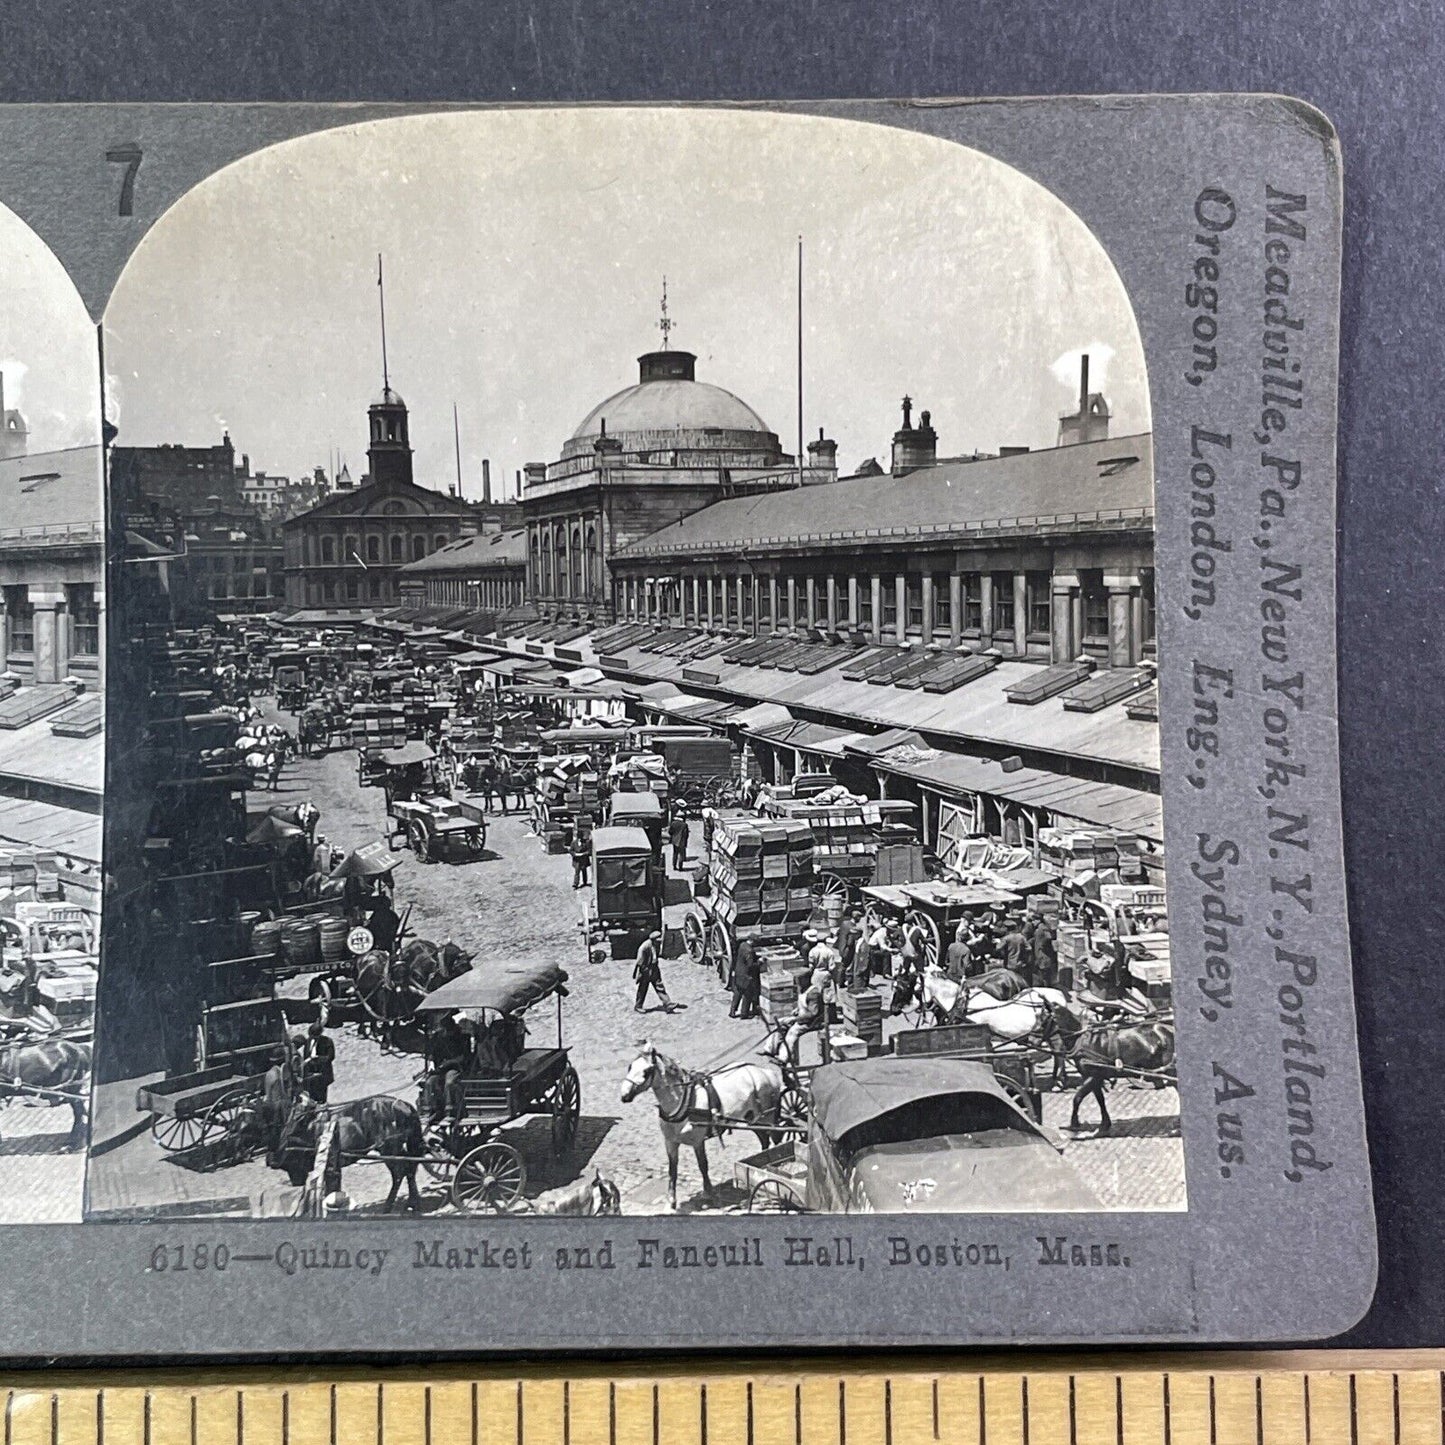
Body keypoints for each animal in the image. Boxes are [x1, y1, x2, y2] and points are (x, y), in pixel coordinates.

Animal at [271, 1092, 421, 1208]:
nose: (272, 1161)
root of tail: (403, 1104)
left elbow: (330, 1186)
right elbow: (333, 1186)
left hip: (389, 1150)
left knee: (399, 1173)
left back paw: (390, 1205)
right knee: (410, 1167)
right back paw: (413, 1202)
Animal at [618, 1046, 786, 1213]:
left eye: (646, 1071)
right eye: (630, 1067)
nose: (624, 1095)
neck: (684, 1102)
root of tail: (765, 1072)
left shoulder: (697, 1141)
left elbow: (703, 1165)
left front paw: (708, 1192)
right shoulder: (670, 1142)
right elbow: (672, 1170)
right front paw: (671, 1201)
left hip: (767, 1118)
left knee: (775, 1140)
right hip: (752, 1119)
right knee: (764, 1140)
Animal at [1046, 999, 1179, 1132]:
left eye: (1045, 1018)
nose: (1055, 1047)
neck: (1082, 1038)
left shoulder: (1093, 1076)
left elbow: (1077, 1098)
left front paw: (1074, 1123)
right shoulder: (1093, 1077)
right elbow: (1100, 1099)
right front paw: (1105, 1123)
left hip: (1171, 1070)